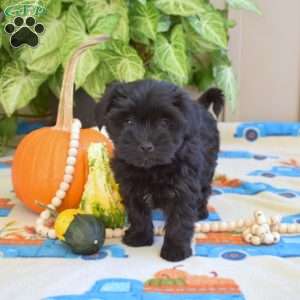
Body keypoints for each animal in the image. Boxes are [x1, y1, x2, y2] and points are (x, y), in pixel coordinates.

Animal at [95, 79, 224, 260]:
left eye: (164, 122)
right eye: (129, 122)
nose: (146, 146)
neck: (151, 169)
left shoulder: (183, 189)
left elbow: (179, 221)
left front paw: (175, 250)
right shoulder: (130, 187)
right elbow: (137, 213)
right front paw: (139, 237)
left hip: (207, 167)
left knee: (205, 190)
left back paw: (200, 211)